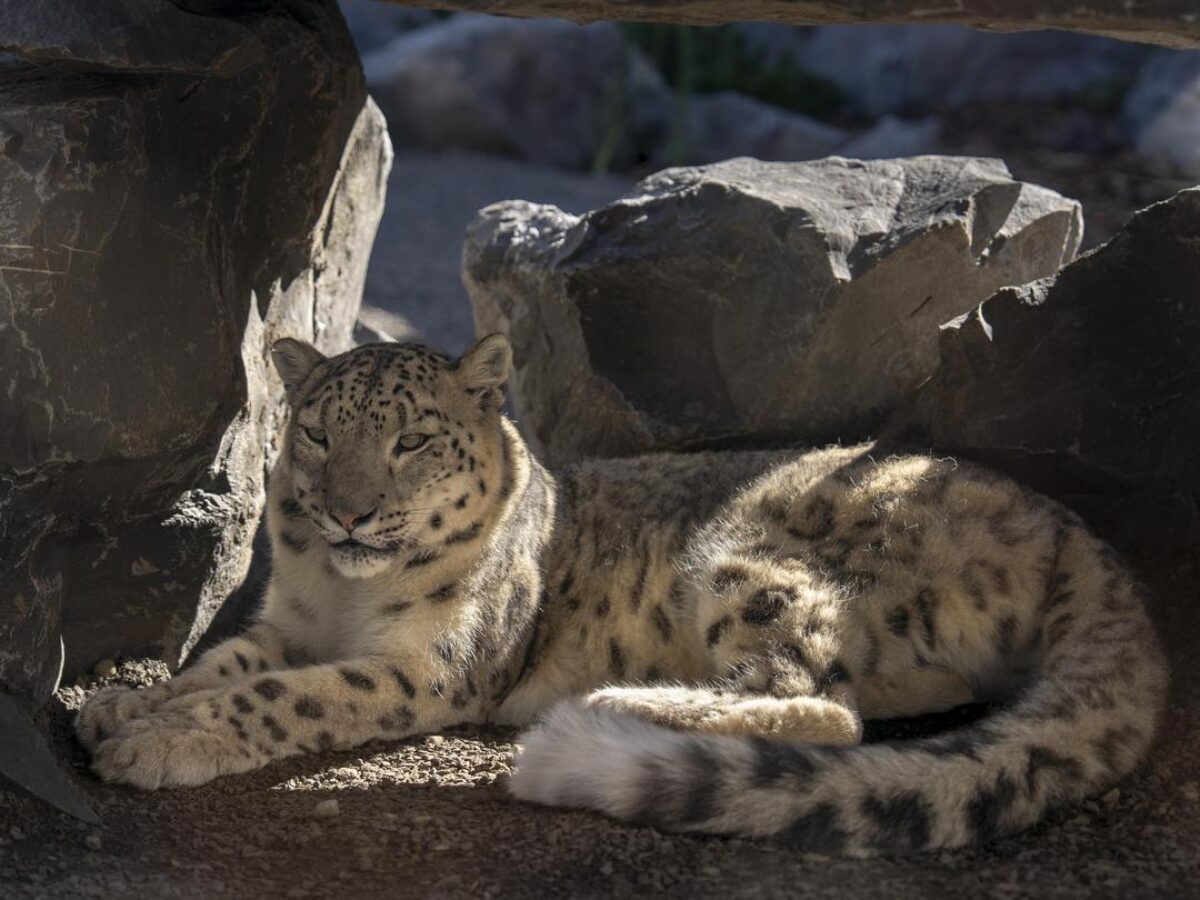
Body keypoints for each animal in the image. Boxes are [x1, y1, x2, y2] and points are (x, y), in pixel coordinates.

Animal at [77, 333, 1167, 855]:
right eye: (314, 432)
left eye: (412, 439)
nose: (346, 514)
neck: (339, 595)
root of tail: (1076, 533)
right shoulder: (287, 622)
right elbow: (223, 663)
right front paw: (127, 705)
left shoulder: (427, 668)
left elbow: (285, 696)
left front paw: (158, 742)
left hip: (749, 557)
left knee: (817, 705)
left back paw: (598, 708)